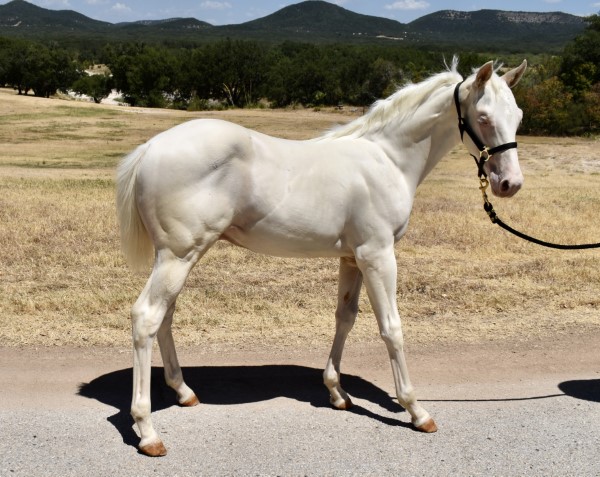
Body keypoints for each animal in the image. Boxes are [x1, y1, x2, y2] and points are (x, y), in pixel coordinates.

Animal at [116, 57, 524, 456]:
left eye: (518, 115)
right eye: (483, 117)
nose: (510, 184)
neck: (387, 160)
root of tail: (150, 148)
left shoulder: (352, 258)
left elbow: (345, 318)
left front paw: (337, 392)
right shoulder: (378, 255)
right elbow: (391, 328)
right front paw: (416, 411)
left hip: (178, 257)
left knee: (165, 316)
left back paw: (184, 392)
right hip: (178, 256)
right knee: (146, 317)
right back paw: (147, 431)